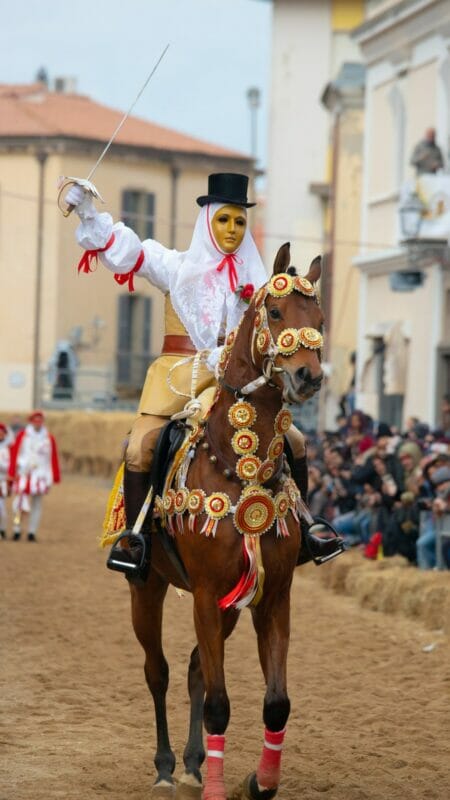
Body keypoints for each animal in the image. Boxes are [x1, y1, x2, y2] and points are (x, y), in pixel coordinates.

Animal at [129, 244, 324, 800]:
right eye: (275, 312)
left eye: (320, 319)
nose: (308, 377)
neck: (241, 466)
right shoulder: (204, 594)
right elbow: (219, 704)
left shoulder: (272, 595)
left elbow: (276, 703)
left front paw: (260, 782)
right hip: (146, 589)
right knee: (159, 671)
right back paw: (167, 766)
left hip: (229, 606)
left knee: (196, 667)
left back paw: (194, 762)